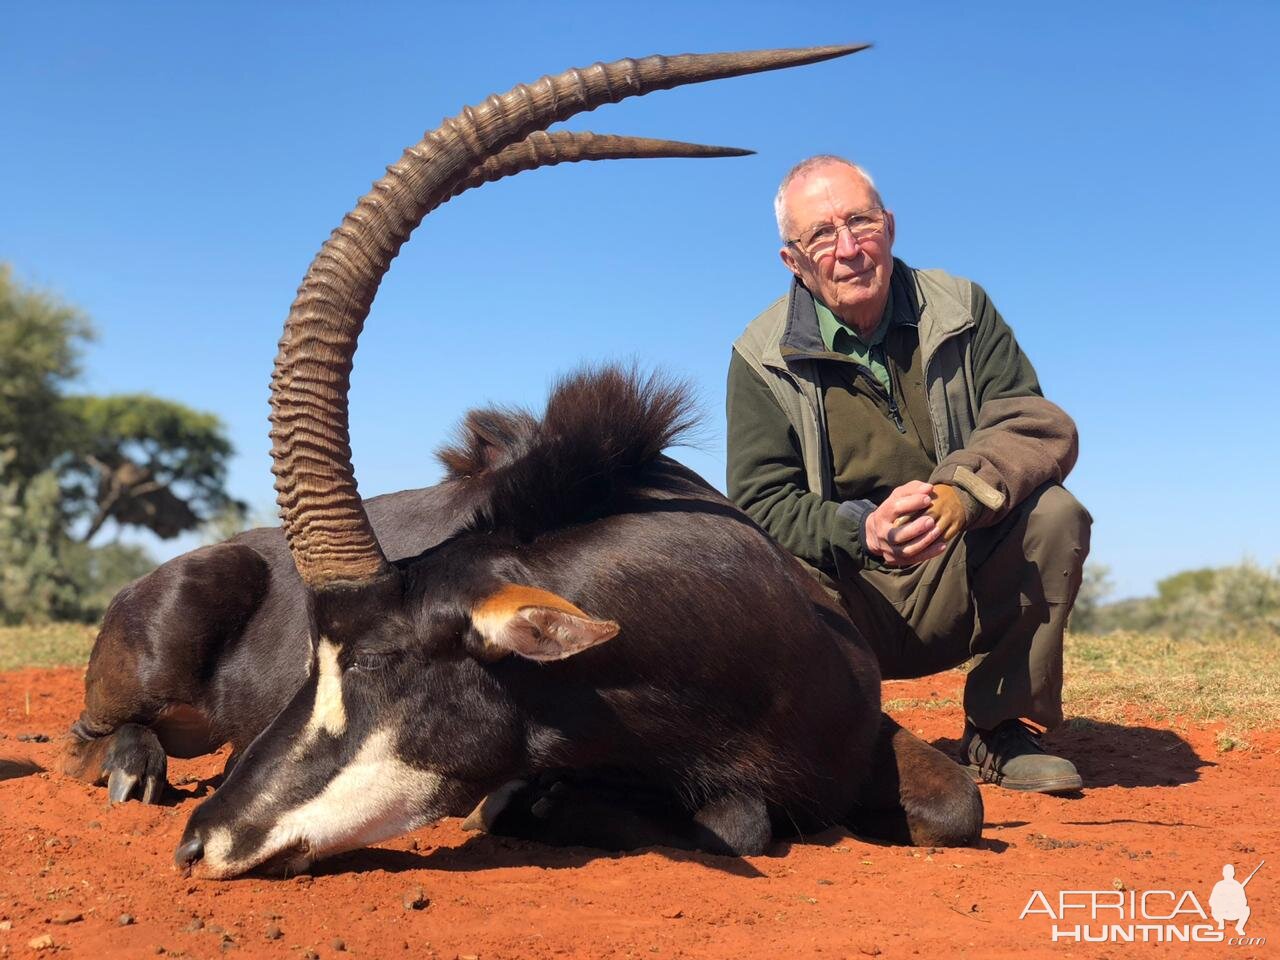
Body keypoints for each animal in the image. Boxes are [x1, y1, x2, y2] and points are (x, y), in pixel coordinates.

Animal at [62, 45, 977, 875]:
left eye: (375, 662)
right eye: (311, 660)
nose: (200, 844)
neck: (741, 635)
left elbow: (956, 805)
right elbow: (737, 818)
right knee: (89, 737)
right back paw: (134, 768)